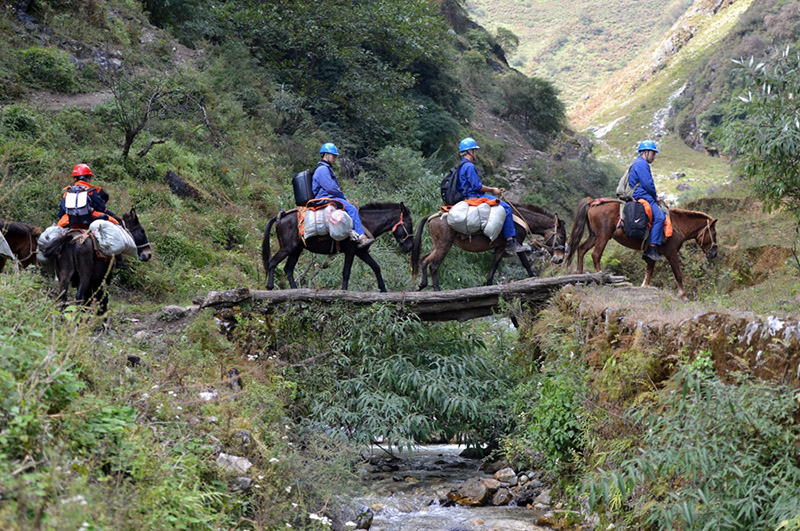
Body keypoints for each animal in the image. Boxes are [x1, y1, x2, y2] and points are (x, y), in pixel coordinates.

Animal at [262, 203, 412, 294]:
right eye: (409, 223)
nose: (409, 247)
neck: (364, 223)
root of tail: (280, 217)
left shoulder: (361, 251)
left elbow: (376, 267)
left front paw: (383, 289)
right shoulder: (351, 250)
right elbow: (346, 272)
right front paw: (344, 291)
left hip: (296, 250)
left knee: (288, 269)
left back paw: (295, 291)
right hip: (287, 248)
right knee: (272, 263)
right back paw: (269, 287)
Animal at [416, 202, 564, 290]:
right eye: (562, 237)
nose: (560, 259)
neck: (521, 219)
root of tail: (434, 215)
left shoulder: (500, 248)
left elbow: (494, 266)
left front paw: (488, 284)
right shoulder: (518, 243)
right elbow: (525, 262)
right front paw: (533, 277)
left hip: (438, 245)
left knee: (424, 259)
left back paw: (422, 285)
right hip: (444, 245)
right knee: (433, 266)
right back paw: (437, 290)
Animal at [564, 197, 720, 300]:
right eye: (713, 234)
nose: (714, 253)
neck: (677, 225)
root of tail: (593, 203)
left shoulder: (652, 253)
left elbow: (649, 271)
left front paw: (644, 287)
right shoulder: (671, 253)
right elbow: (678, 274)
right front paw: (683, 295)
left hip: (594, 236)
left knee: (581, 249)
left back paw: (580, 275)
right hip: (603, 236)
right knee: (596, 255)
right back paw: (602, 278)